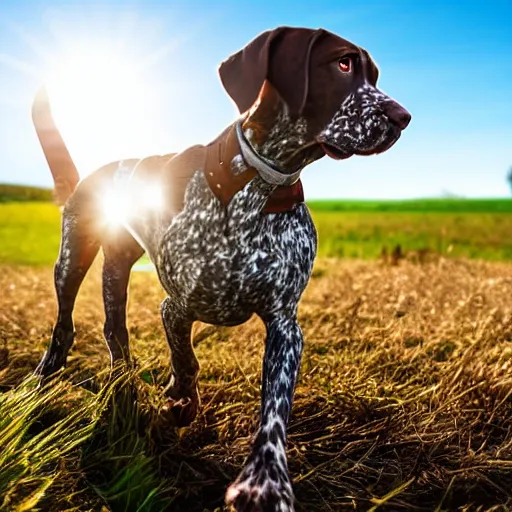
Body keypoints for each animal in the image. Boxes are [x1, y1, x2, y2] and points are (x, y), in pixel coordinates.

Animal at [31, 26, 408, 510]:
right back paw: (48, 372)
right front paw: (181, 403)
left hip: (117, 265)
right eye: (343, 64)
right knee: (65, 322)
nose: (403, 117)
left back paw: (122, 381)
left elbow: (274, 409)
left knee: (114, 327)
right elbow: (187, 360)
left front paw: (265, 481)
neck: (259, 185)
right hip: (73, 256)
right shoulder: (175, 308)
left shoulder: (285, 326)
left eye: (374, 75)